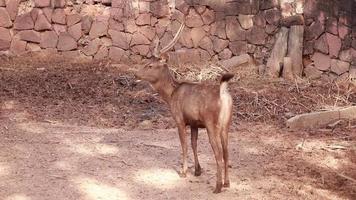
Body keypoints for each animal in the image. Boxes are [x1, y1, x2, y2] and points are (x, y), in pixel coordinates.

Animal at [134, 12, 234, 194]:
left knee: (218, 154)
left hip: (212, 123)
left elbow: (184, 145)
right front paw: (198, 170)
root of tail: (224, 95)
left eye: (150, 65)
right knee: (226, 152)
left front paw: (183, 171)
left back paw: (217, 186)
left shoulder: (180, 119)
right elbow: (194, 144)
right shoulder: (194, 122)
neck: (170, 95)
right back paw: (227, 183)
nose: (136, 74)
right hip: (226, 124)